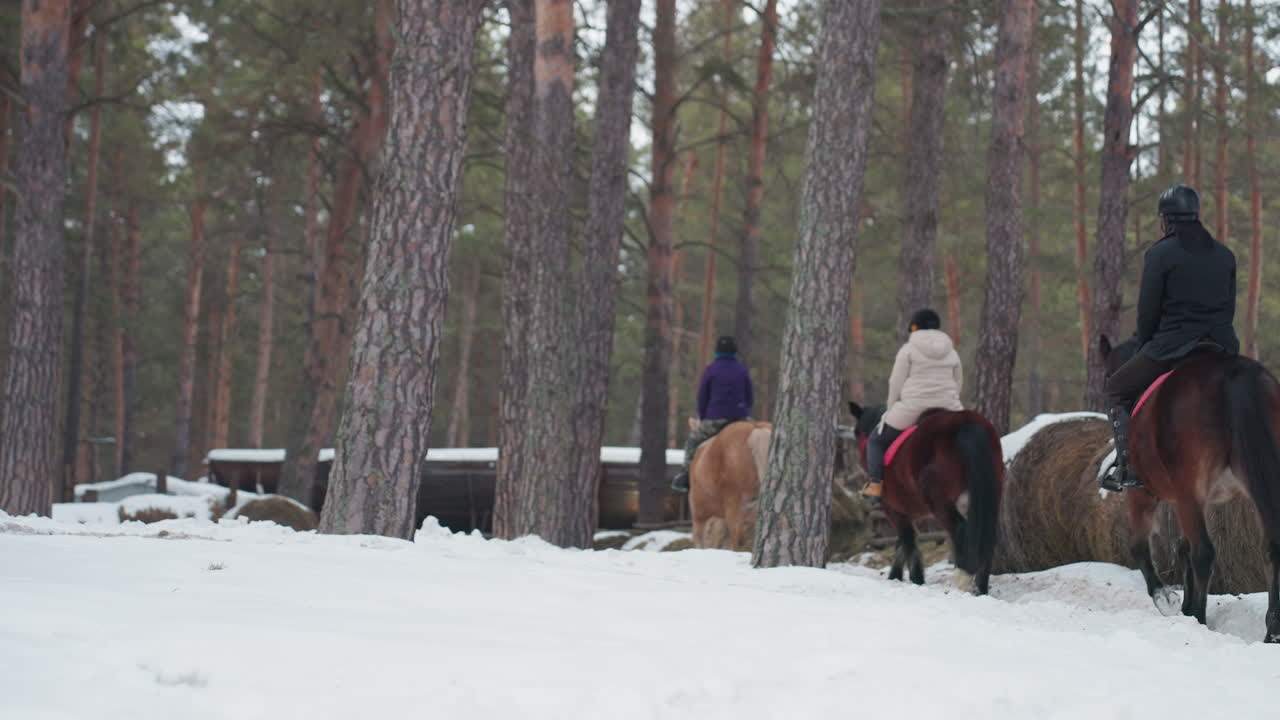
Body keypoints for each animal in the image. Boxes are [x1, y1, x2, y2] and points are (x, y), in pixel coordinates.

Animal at [848, 402, 1004, 595]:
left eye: (856, 431)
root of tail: (966, 422)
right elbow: (903, 543)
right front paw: (896, 576)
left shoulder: (894, 511)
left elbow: (908, 541)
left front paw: (915, 579)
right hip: (987, 497)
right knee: (988, 535)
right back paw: (980, 588)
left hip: (940, 503)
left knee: (960, 530)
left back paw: (961, 579)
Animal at [1100, 335, 1280, 642]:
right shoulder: (1194, 499)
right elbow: (1182, 547)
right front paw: (1184, 605)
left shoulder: (1146, 493)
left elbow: (1139, 546)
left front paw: (1166, 598)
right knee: (1268, 548)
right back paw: (1272, 631)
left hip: (1182, 492)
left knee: (1204, 553)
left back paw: (1200, 616)